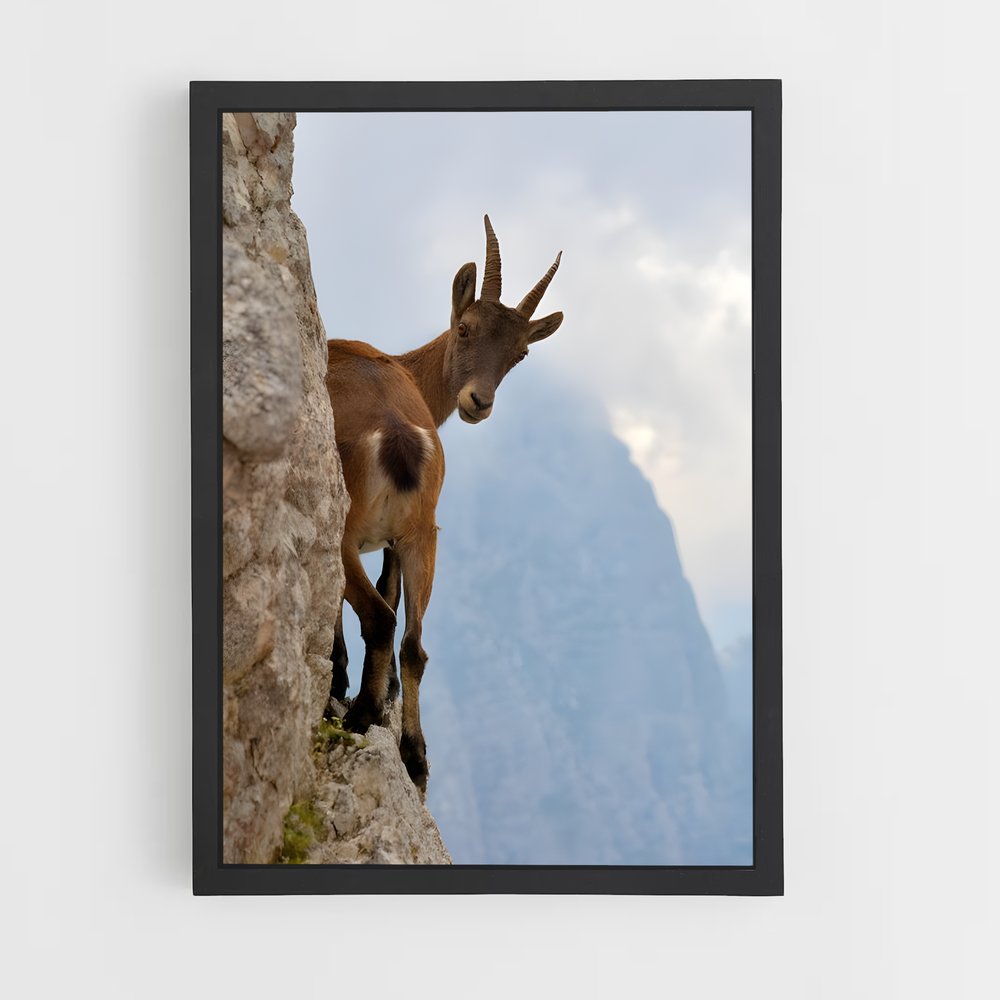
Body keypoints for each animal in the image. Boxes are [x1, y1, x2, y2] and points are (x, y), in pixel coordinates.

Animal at [325, 216, 564, 792]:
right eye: (466, 329)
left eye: (520, 352)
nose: (479, 401)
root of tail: (396, 436)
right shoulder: (396, 540)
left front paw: (342, 680)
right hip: (424, 535)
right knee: (414, 642)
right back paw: (413, 756)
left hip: (346, 532)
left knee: (380, 618)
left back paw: (360, 717)